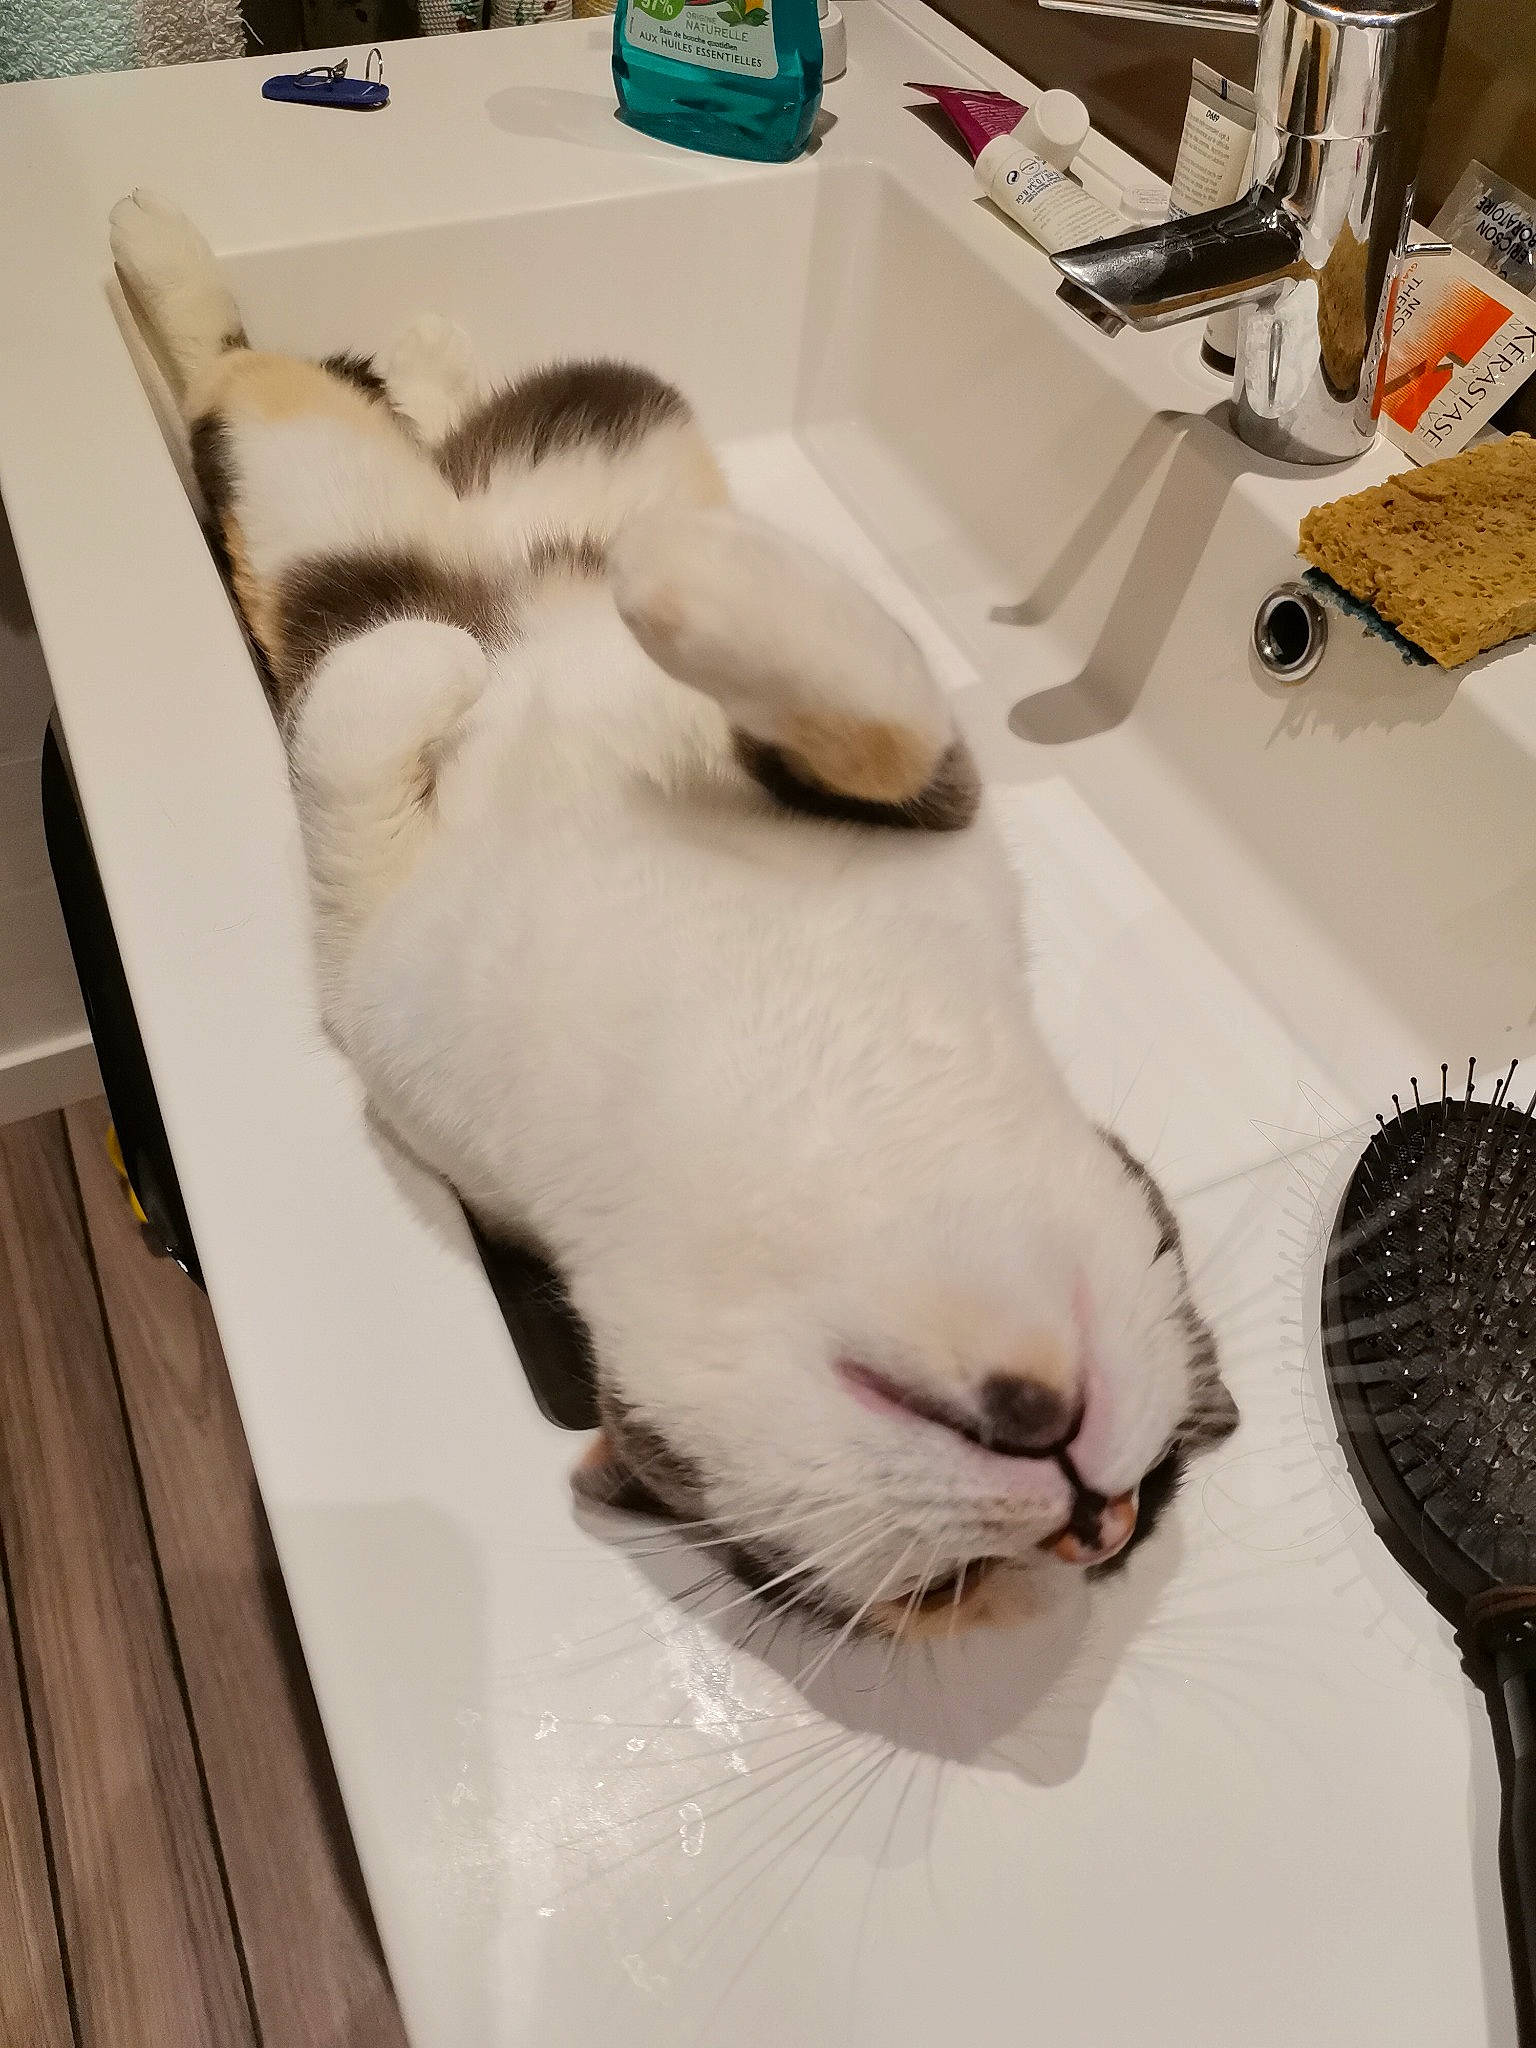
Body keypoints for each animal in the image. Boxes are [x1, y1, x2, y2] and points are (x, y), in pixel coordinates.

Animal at [108, 188, 1237, 1642]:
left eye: (946, 1595)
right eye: (1164, 1239)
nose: (1095, 1517)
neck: (737, 1077)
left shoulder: (376, 966)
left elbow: (372, 694)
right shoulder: (925, 797)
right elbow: (863, 707)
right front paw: (661, 586)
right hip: (511, 430)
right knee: (281, 387)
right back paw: (262, 286)